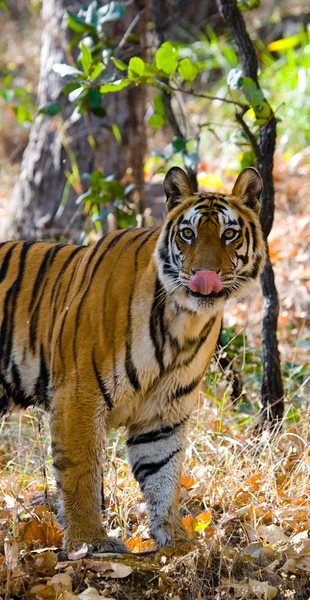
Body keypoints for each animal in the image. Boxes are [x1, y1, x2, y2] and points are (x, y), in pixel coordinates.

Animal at [0, 164, 266, 552]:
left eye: (229, 234)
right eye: (187, 234)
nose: (204, 277)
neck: (182, 323)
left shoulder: (164, 412)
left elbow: (163, 475)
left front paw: (176, 540)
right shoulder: (77, 395)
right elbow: (81, 472)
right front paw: (89, 541)